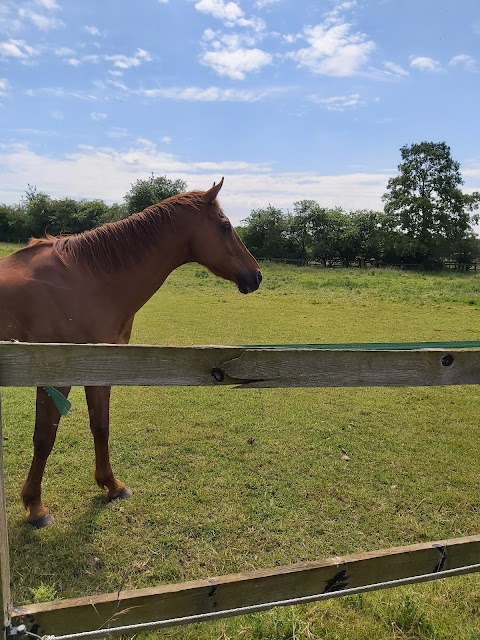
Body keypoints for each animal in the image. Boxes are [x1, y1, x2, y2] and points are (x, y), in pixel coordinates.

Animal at [0, 179, 262, 524]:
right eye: (225, 226)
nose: (257, 275)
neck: (87, 280)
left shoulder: (102, 367)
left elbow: (100, 426)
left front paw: (112, 485)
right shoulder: (55, 376)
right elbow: (44, 438)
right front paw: (35, 507)